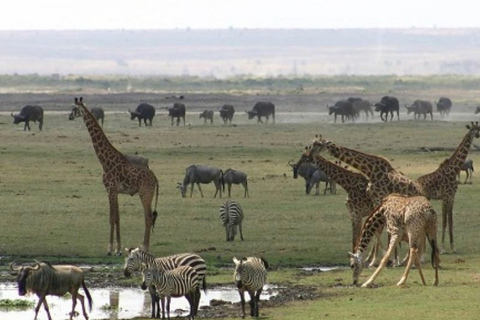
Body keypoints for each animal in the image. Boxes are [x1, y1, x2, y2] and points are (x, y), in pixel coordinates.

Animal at [73, 97, 159, 255]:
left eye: (75, 109)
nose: (70, 116)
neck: (105, 161)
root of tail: (156, 179)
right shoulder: (116, 191)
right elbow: (117, 217)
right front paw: (118, 249)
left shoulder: (110, 189)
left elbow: (111, 217)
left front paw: (109, 249)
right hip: (146, 193)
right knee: (150, 217)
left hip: (145, 193)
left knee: (148, 217)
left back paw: (144, 248)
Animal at [416, 121, 480, 254]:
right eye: (472, 130)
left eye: (479, 128)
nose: (478, 135)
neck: (454, 169)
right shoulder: (445, 197)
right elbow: (445, 221)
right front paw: (443, 248)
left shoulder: (451, 197)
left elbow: (450, 221)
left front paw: (452, 247)